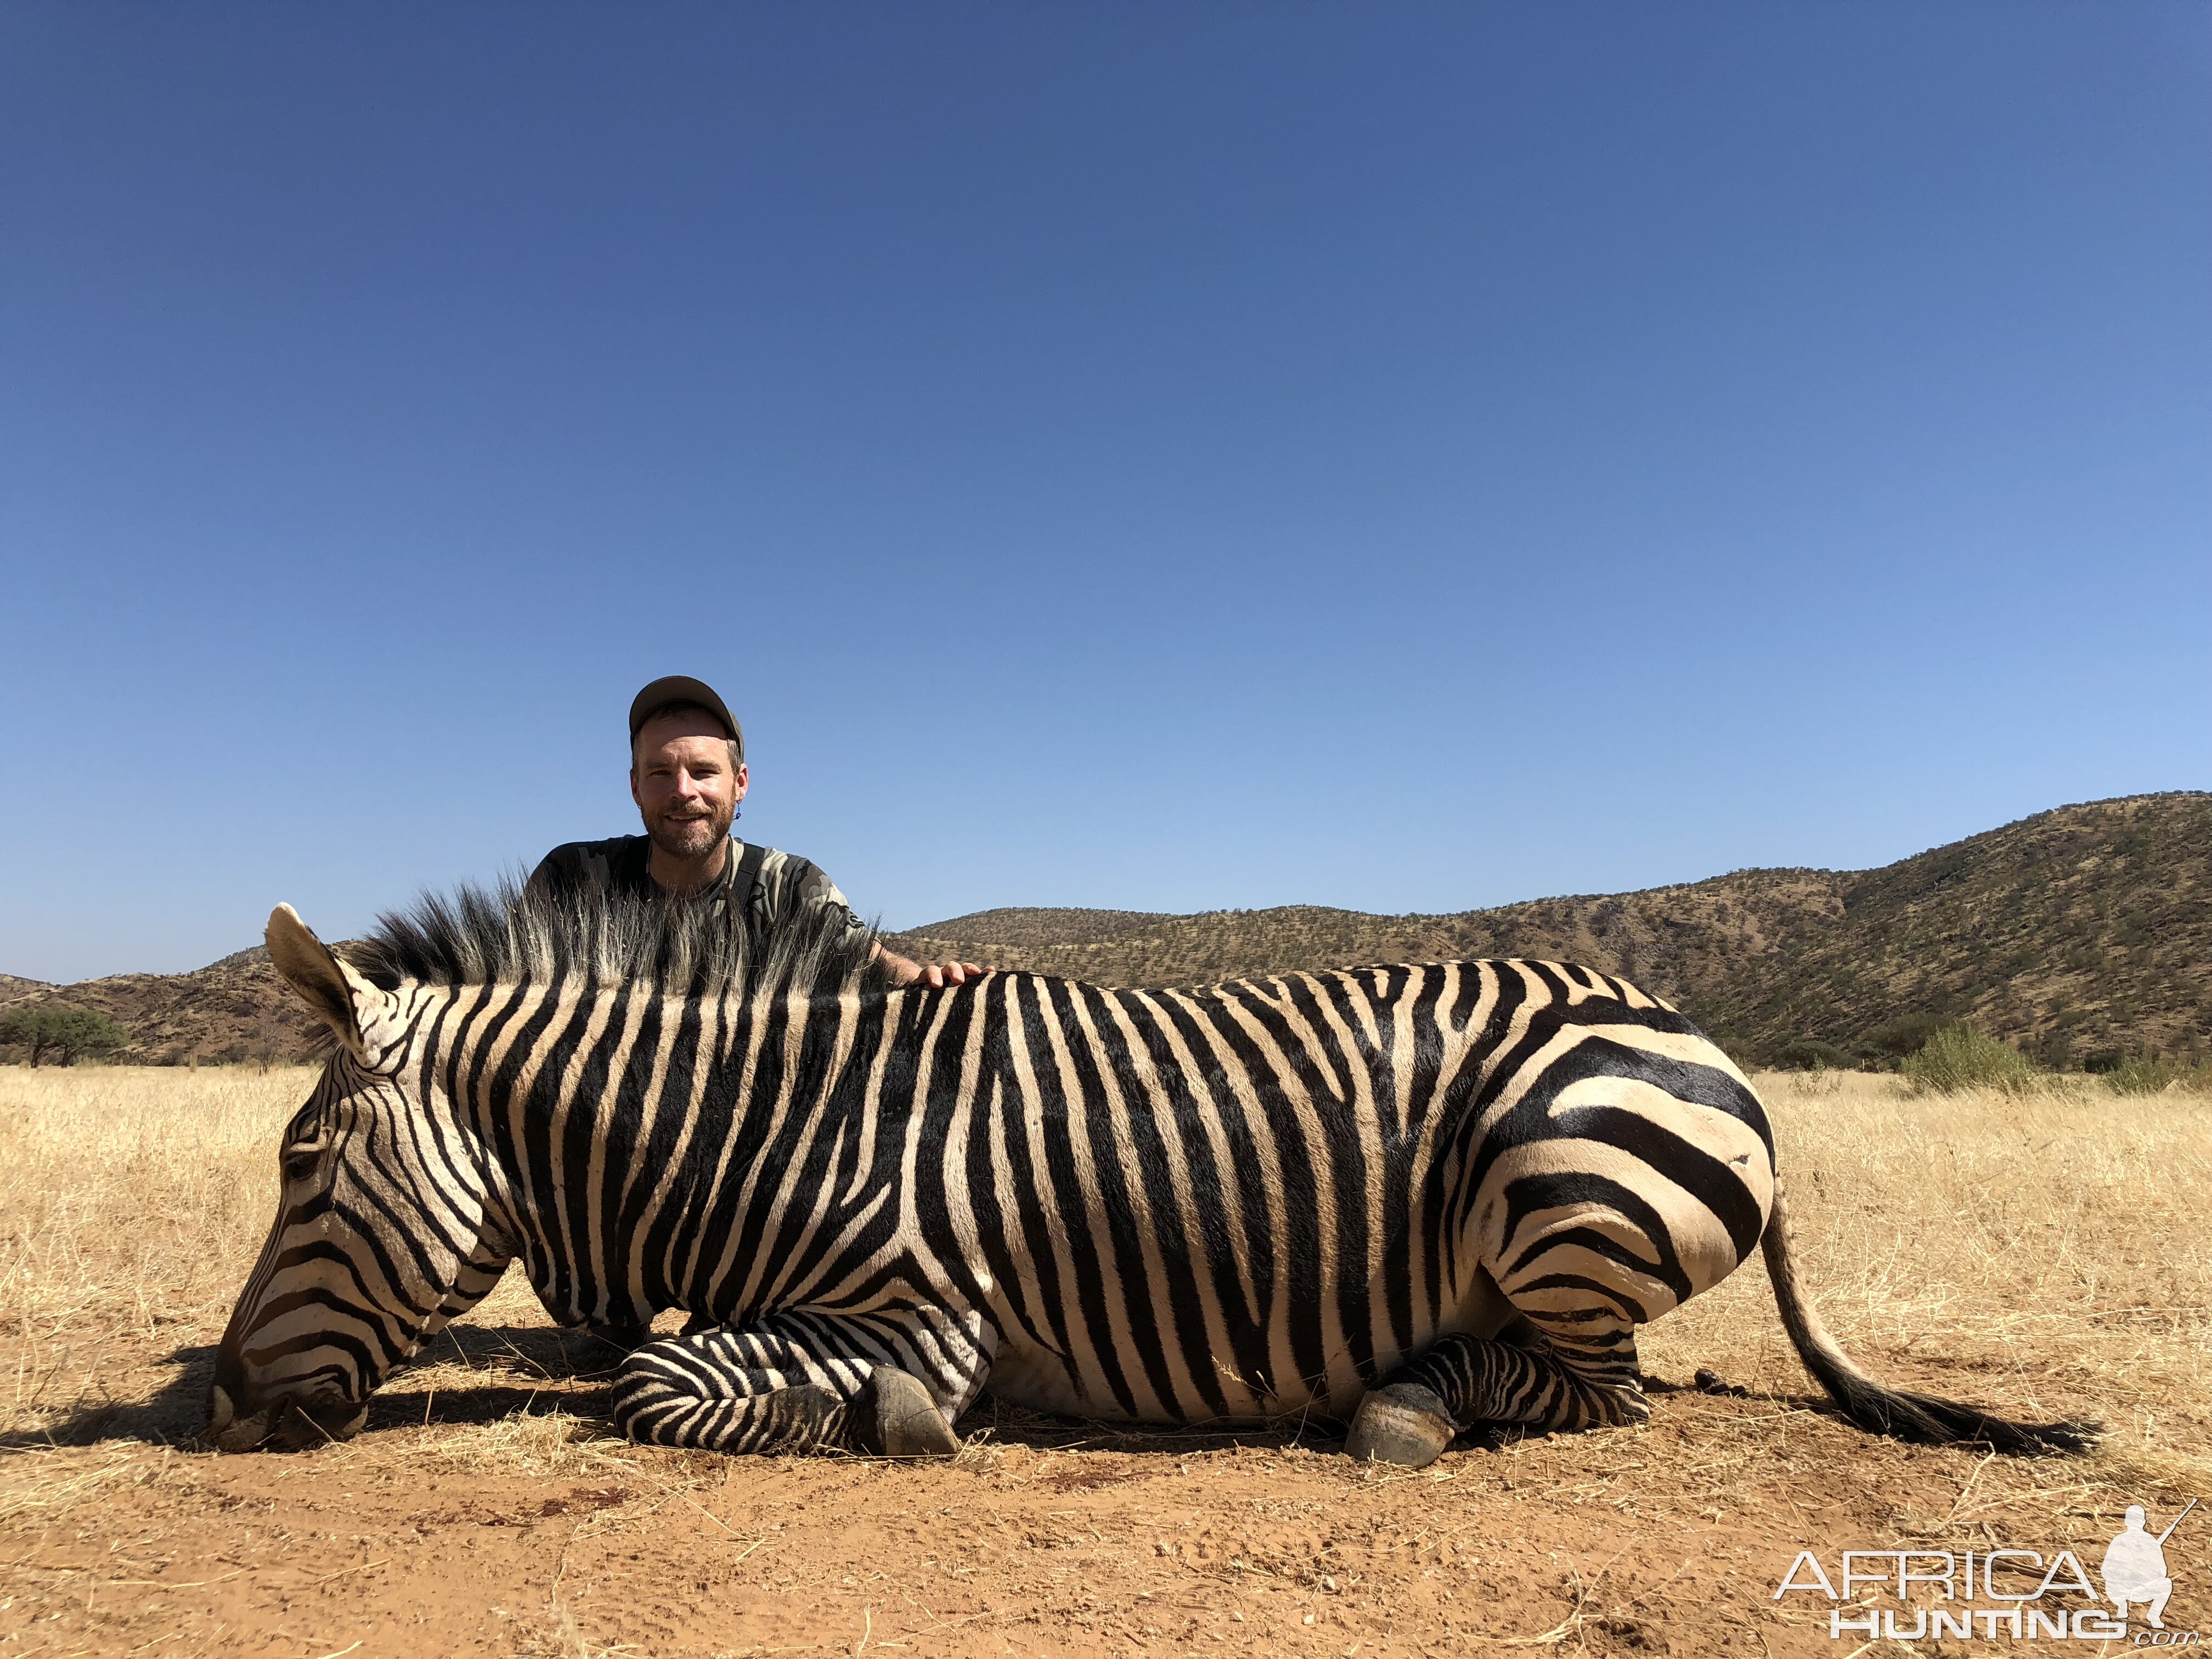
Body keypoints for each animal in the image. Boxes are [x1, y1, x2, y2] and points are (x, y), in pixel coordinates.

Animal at [208, 884, 2088, 1469]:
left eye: (298, 1166)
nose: (220, 1396)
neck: (767, 1126)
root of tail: (1687, 1025)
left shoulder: (924, 1308)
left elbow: (663, 1385)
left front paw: (895, 1427)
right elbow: (667, 1370)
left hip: (1556, 1190)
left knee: (1595, 1394)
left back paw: (1401, 1403)